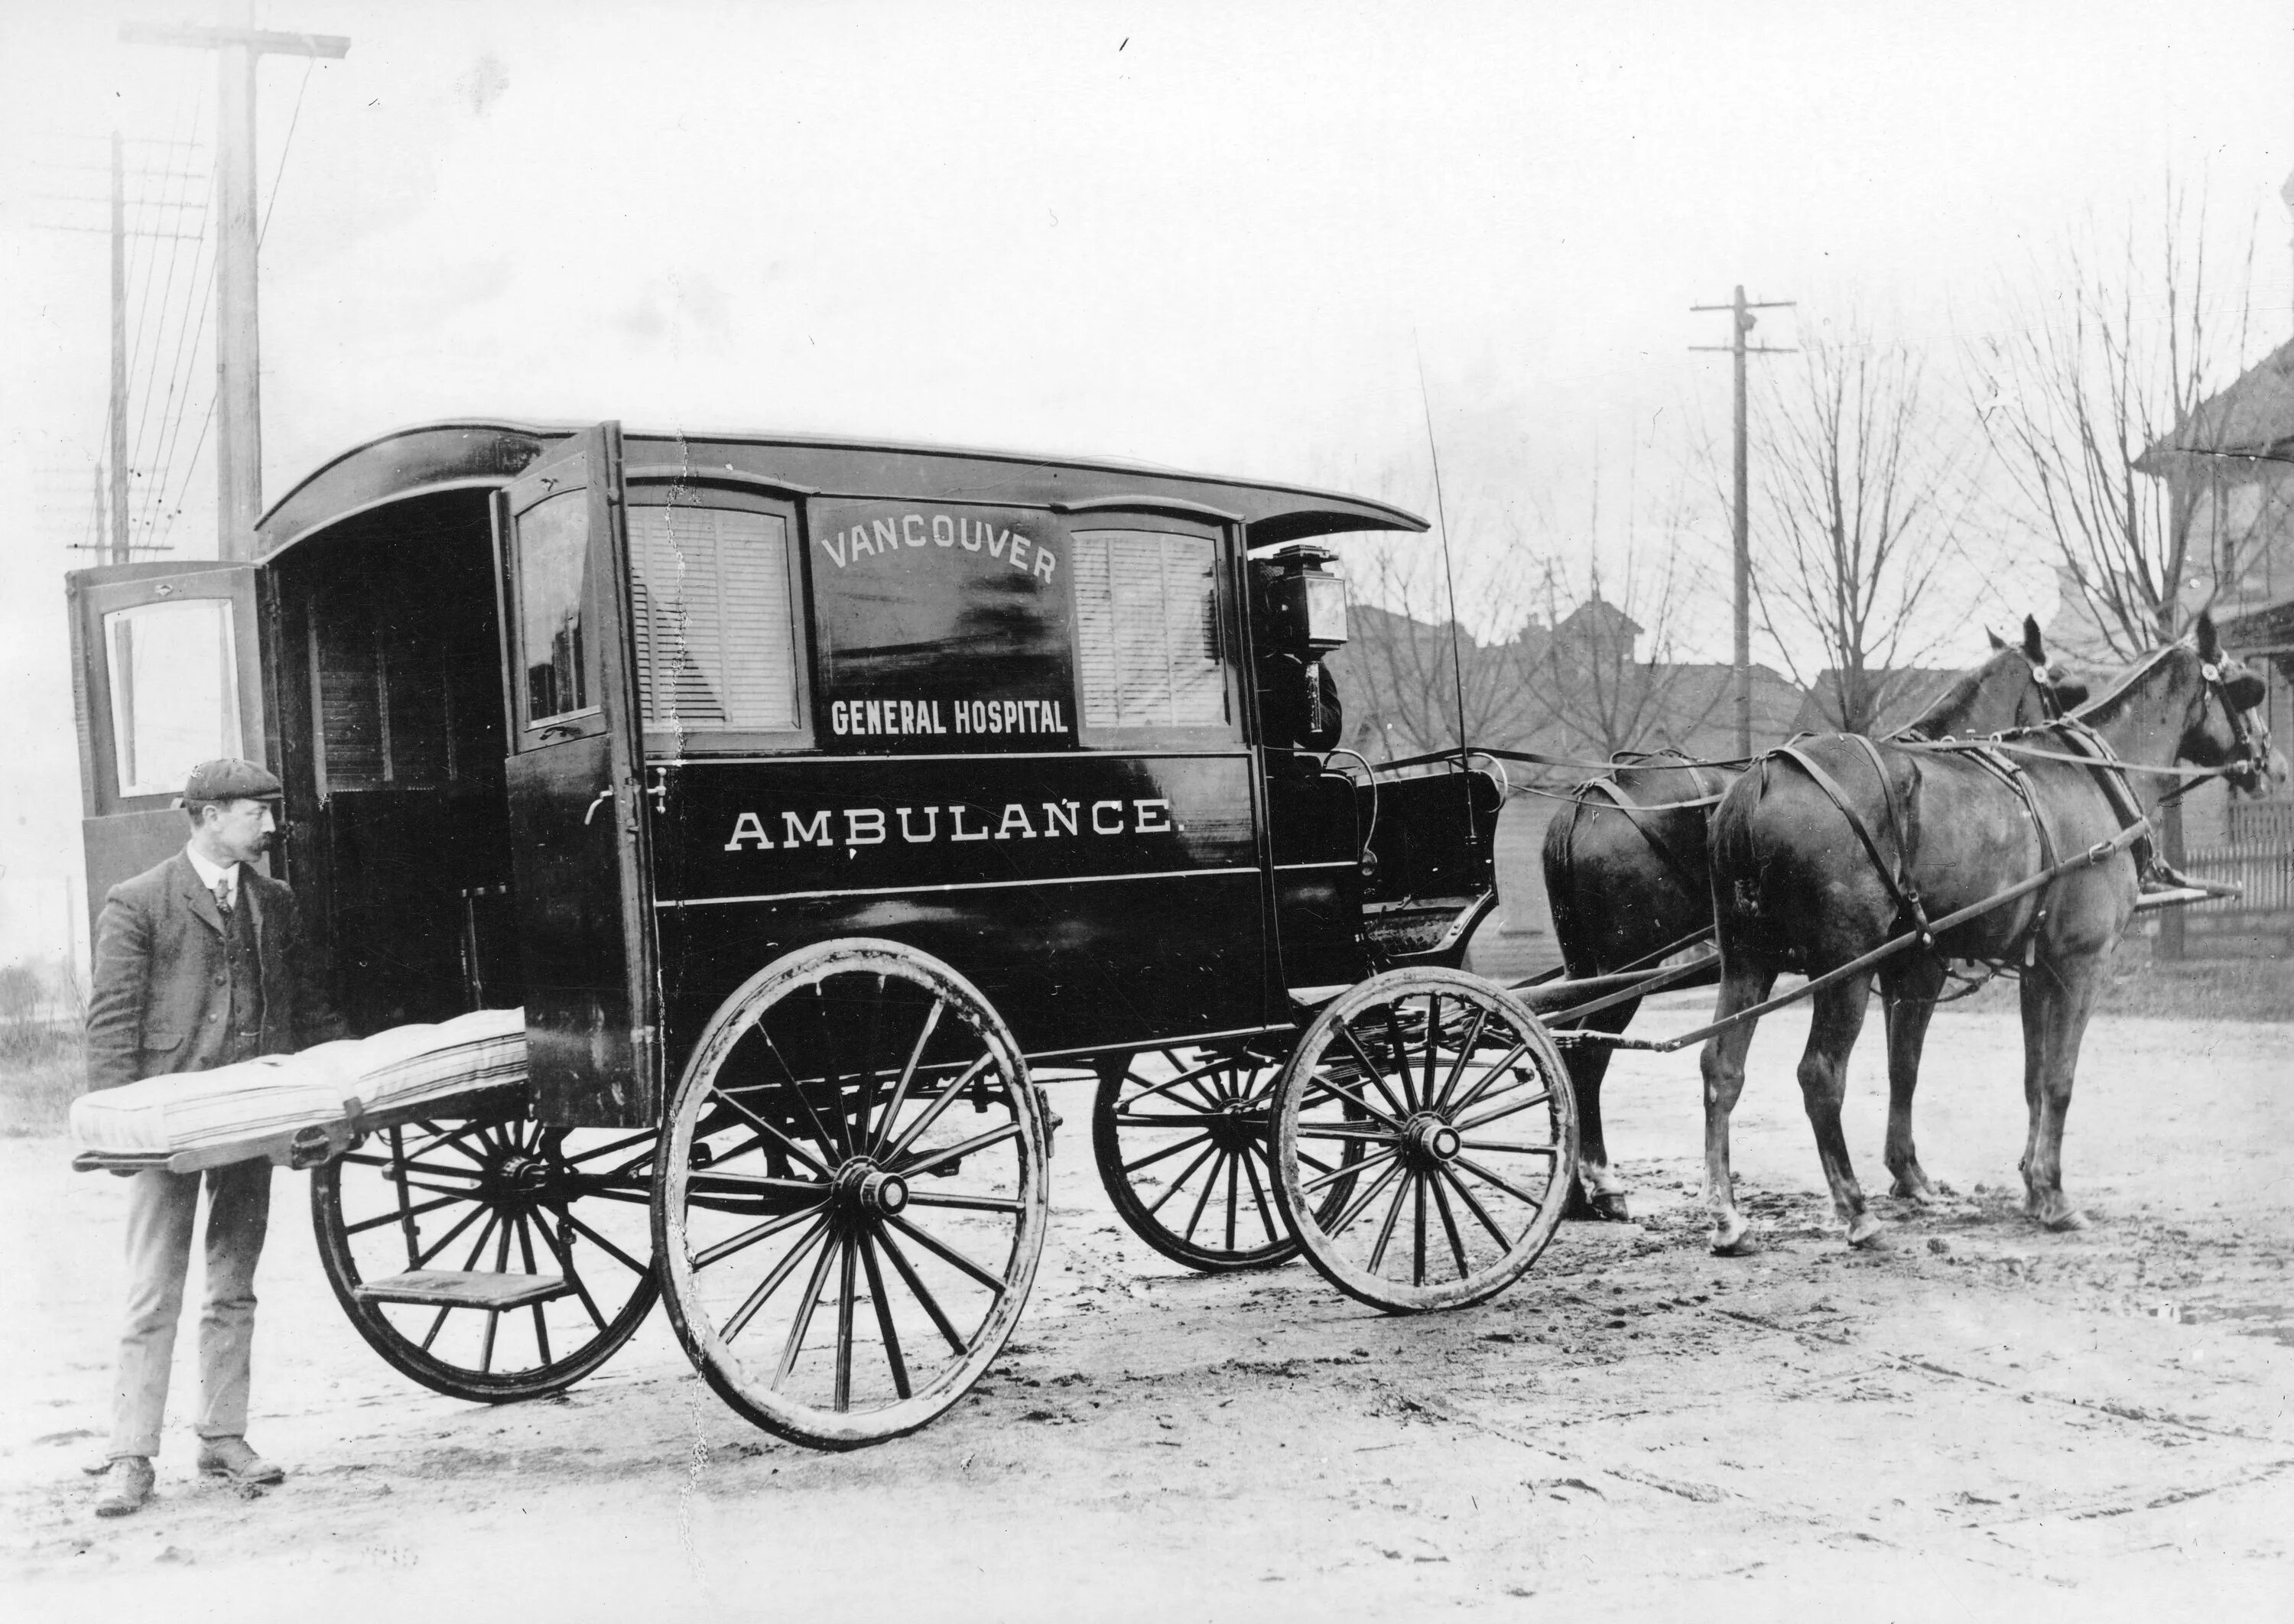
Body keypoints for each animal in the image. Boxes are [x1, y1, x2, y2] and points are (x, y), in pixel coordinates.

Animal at [1551, 624, 2092, 1220]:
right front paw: (1911, 1176)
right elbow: (1906, 1063)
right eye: (2058, 686)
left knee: (1573, 1053)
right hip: (1622, 971)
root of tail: (1583, 804)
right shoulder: (1922, 962)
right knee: (1588, 1056)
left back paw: (1579, 1191)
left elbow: (1901, 1062)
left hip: (1590, 969)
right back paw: (1600, 1184)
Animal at [1707, 615, 2276, 1248]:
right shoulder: (2081, 964)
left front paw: (2030, 1185)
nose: (2270, 763)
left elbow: (2027, 1076)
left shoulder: (2033, 968)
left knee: (1720, 1068)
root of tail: (1762, 778)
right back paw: (1855, 1210)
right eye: (2245, 687)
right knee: (1820, 1075)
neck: (2089, 777)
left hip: (1747, 961)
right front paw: (2054, 1195)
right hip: (1843, 970)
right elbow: (2059, 1079)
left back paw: (1726, 1213)